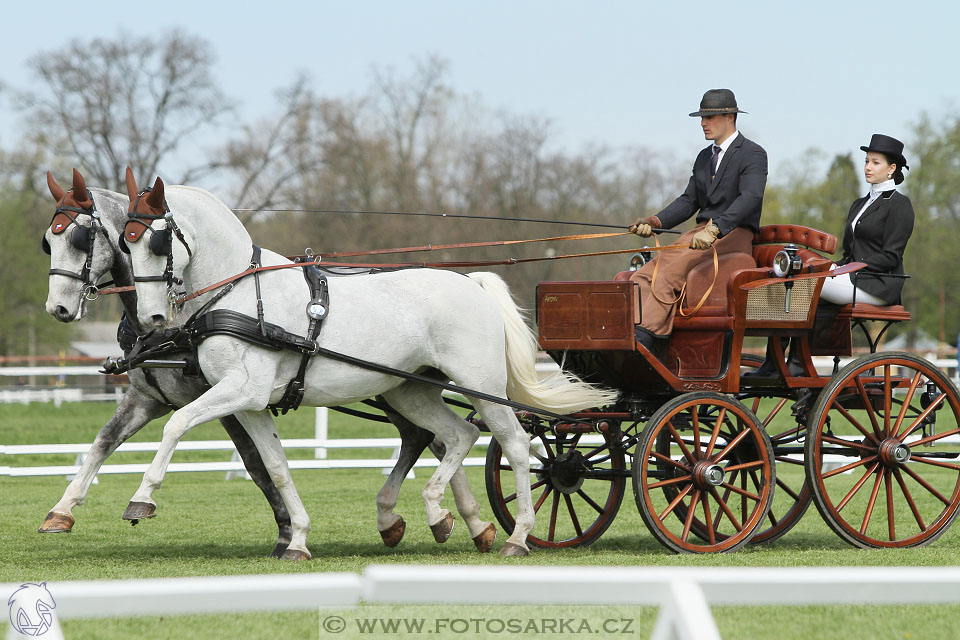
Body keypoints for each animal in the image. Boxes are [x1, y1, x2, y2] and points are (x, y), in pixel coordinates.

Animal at [122, 170, 616, 556]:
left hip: (483, 387)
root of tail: (471, 283)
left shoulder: (242, 389)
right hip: (411, 390)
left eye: (156, 240)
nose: (151, 318)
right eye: (126, 246)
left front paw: (142, 498)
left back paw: (517, 535)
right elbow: (277, 467)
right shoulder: (251, 404)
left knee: (512, 443)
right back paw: (437, 513)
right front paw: (298, 540)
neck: (241, 294)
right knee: (459, 434)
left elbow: (176, 423)